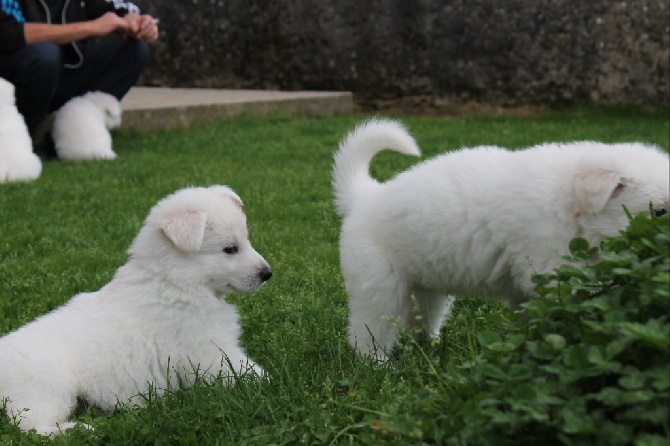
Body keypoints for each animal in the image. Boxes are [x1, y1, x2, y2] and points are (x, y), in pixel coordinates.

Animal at [0, 185, 272, 436]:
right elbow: (248, 371)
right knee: (31, 426)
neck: (175, 281)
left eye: (246, 241)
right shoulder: (210, 352)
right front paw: (273, 382)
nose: (267, 274)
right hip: (49, 384)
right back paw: (77, 430)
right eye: (230, 249)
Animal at [334, 117, 670, 358]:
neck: (570, 201)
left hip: (427, 288)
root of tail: (365, 197)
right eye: (659, 212)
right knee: (368, 331)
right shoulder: (549, 269)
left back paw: (428, 347)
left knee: (420, 320)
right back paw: (378, 366)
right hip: (378, 285)